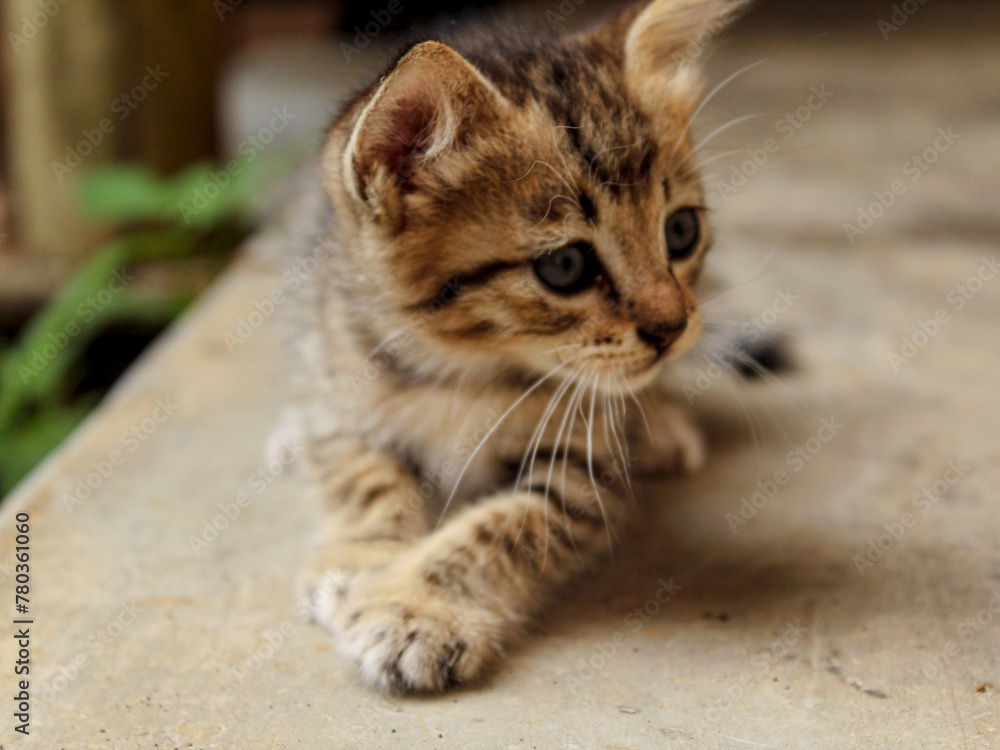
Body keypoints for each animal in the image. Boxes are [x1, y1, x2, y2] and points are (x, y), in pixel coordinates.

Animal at [296, 0, 752, 692]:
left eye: (680, 231)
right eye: (564, 266)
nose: (671, 328)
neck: (463, 367)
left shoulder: (584, 469)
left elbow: (508, 524)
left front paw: (415, 608)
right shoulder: (338, 379)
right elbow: (361, 474)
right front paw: (359, 556)